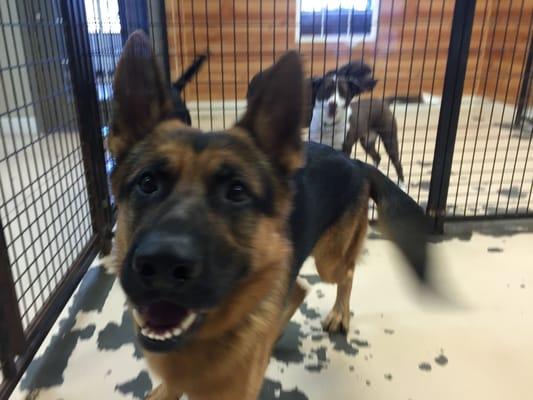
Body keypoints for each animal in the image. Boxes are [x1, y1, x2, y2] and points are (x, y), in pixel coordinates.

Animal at [110, 31, 430, 400]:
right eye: (147, 183)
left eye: (237, 192)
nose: (161, 264)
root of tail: (352, 162)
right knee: (299, 288)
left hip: (330, 259)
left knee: (345, 273)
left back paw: (339, 314)